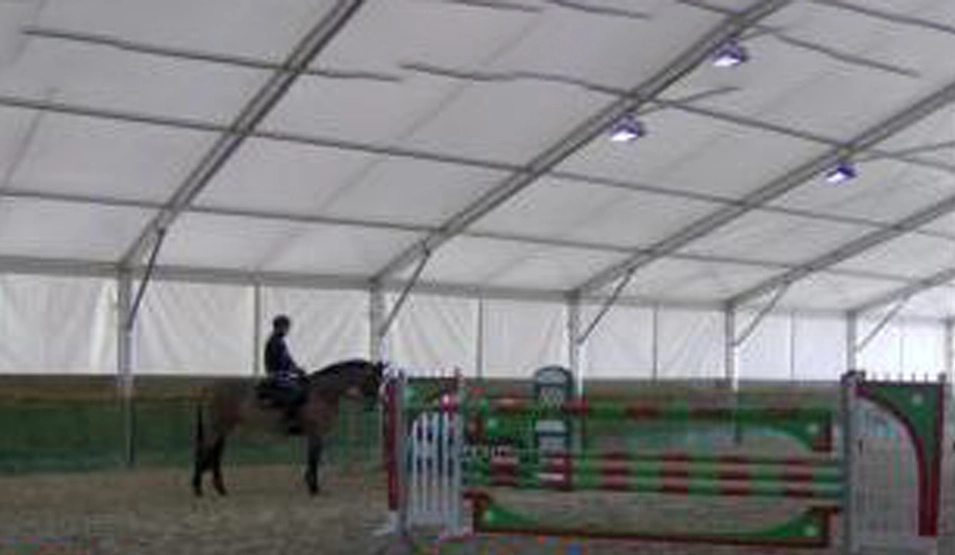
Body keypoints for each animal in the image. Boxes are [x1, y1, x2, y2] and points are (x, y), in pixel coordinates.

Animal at [190, 358, 384, 498]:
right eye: (374, 379)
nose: (373, 405)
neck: (322, 392)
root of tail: (209, 388)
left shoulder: (316, 435)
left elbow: (313, 458)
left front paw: (310, 483)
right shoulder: (316, 434)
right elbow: (314, 459)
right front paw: (314, 488)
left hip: (223, 429)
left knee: (216, 456)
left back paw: (221, 489)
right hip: (216, 428)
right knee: (204, 452)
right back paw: (198, 489)